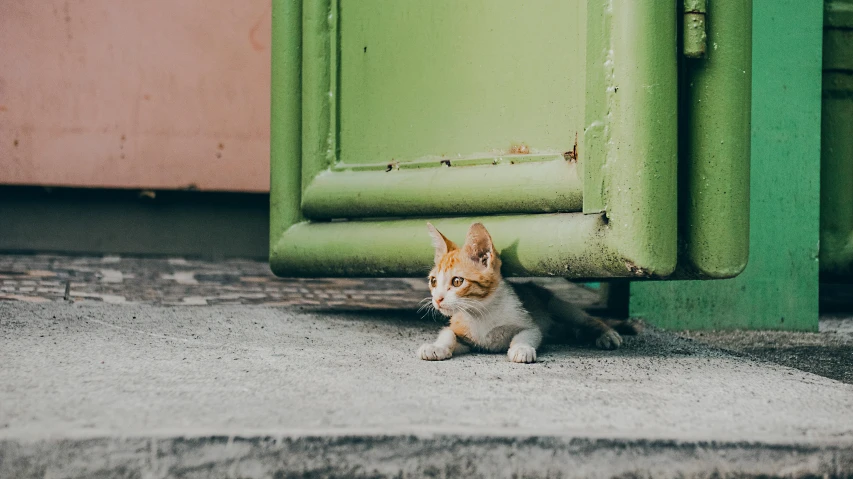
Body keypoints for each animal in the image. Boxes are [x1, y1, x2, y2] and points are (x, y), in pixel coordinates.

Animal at [416, 222, 644, 364]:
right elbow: (448, 334)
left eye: (457, 281)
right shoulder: (461, 330)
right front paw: (437, 347)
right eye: (433, 281)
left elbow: (527, 334)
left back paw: (606, 334)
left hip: (556, 304)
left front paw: (521, 349)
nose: (437, 299)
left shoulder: (529, 322)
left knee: (586, 318)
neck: (482, 311)